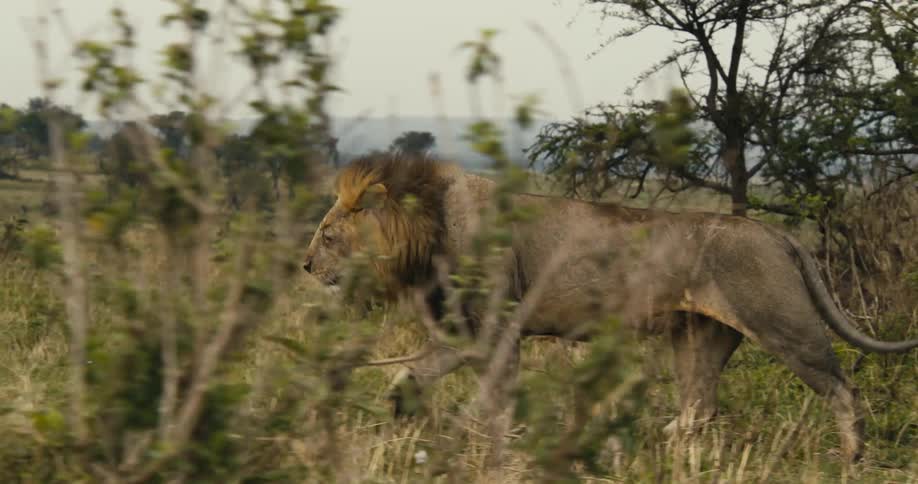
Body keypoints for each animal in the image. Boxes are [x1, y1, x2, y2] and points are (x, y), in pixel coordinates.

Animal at [302, 153, 918, 461]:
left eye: (329, 235)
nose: (305, 266)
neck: (425, 231)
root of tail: (776, 233)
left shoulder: (499, 332)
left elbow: (494, 398)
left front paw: (476, 438)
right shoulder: (465, 333)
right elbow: (414, 372)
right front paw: (401, 412)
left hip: (781, 322)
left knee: (841, 387)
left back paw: (852, 456)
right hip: (700, 335)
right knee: (700, 406)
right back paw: (655, 444)